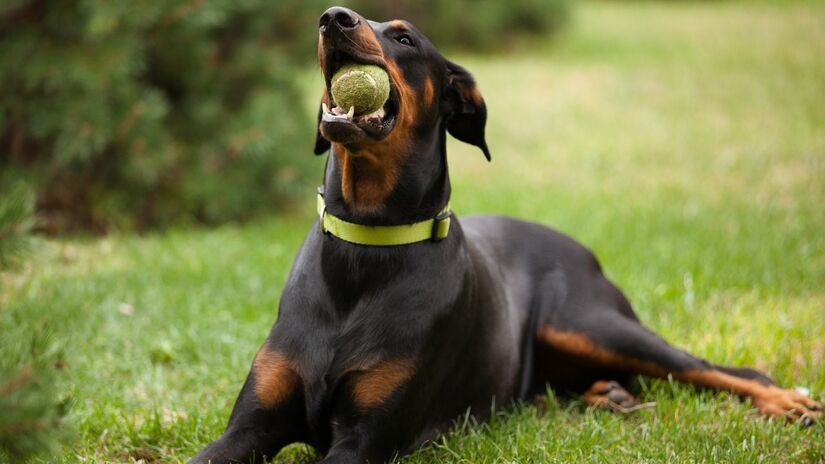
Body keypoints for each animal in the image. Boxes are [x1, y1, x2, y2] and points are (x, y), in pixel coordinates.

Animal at [192, 7, 816, 464]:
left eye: (405, 37)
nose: (332, 18)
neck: (364, 250)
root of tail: (579, 246)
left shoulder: (364, 439)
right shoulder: (248, 428)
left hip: (588, 321)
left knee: (714, 368)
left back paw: (785, 401)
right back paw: (608, 395)